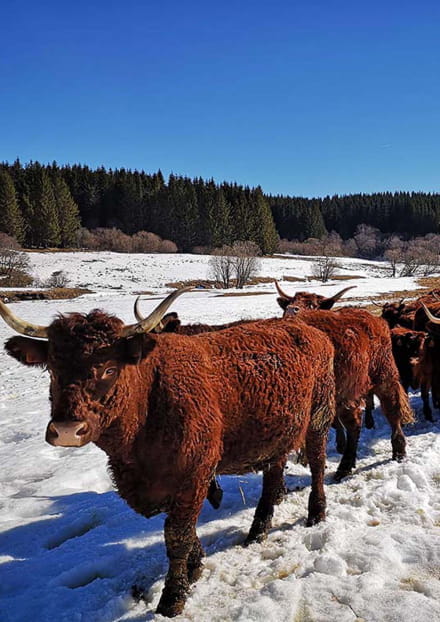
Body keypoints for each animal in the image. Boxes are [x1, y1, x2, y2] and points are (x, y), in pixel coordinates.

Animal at [0, 296, 336, 620]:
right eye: (53, 369)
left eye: (109, 368)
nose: (67, 430)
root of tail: (309, 329)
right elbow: (182, 529)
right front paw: (195, 566)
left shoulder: (195, 475)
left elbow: (177, 535)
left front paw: (173, 598)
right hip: (277, 434)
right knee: (273, 476)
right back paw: (258, 530)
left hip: (318, 418)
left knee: (317, 465)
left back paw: (316, 513)